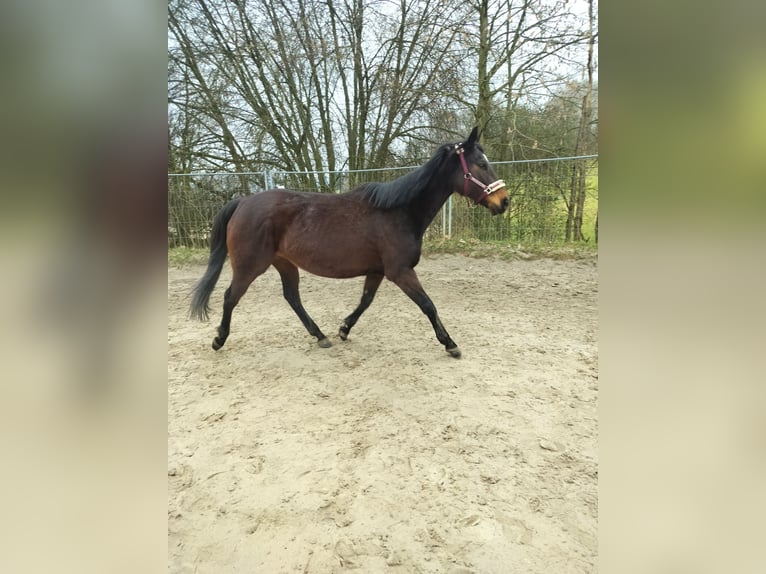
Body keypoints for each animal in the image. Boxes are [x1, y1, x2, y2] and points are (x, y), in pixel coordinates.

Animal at [189, 127, 509, 358]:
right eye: (481, 164)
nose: (503, 201)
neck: (398, 211)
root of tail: (243, 202)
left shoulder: (378, 271)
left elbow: (365, 301)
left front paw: (343, 329)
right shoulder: (400, 272)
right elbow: (428, 305)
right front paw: (449, 343)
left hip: (284, 263)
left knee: (292, 297)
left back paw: (321, 336)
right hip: (249, 265)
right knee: (230, 296)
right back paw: (219, 339)